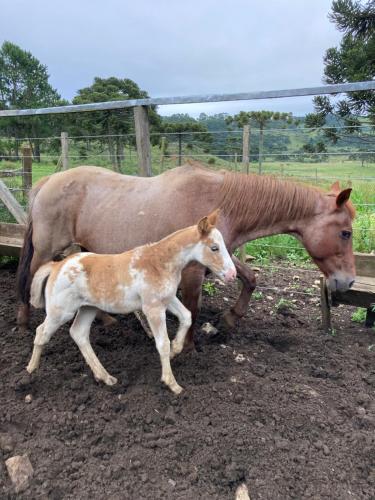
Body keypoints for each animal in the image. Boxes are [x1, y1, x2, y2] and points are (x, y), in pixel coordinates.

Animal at [16, 161, 356, 348]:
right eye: (346, 232)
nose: (348, 281)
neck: (222, 204)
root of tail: (48, 181)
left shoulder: (220, 256)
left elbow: (250, 278)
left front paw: (230, 318)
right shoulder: (192, 269)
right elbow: (192, 305)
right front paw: (188, 345)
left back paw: (106, 319)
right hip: (47, 248)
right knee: (32, 277)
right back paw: (23, 321)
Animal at [26, 211, 236, 394]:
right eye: (214, 247)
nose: (232, 275)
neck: (159, 263)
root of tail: (57, 265)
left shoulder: (167, 299)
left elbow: (186, 316)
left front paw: (177, 349)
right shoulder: (152, 308)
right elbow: (162, 343)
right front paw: (172, 384)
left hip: (88, 308)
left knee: (79, 333)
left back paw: (106, 377)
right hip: (60, 311)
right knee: (41, 331)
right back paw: (30, 372)